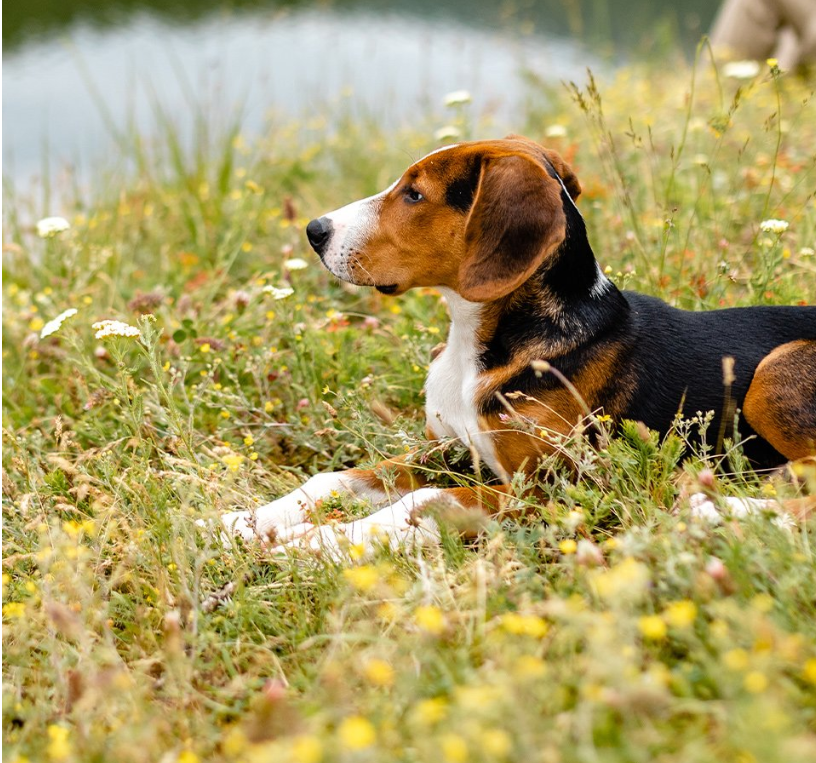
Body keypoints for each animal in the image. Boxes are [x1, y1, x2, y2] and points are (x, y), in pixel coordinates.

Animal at [218, 136, 816, 556]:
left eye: (414, 194)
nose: (315, 231)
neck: (478, 351)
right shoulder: (448, 451)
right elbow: (331, 480)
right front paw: (236, 523)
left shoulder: (554, 491)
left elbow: (421, 502)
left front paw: (315, 544)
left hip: (775, 369)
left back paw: (715, 507)